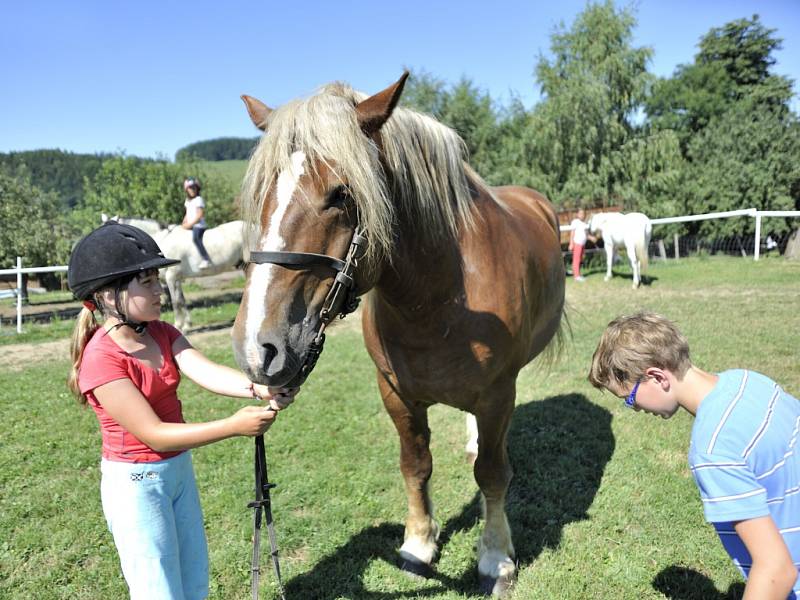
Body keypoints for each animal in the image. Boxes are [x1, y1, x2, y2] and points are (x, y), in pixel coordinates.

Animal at [231, 72, 564, 592]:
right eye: (261, 193)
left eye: (342, 194)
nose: (257, 348)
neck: (438, 298)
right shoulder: (395, 394)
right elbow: (416, 465)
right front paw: (419, 543)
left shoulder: (496, 394)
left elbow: (491, 474)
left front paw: (495, 557)